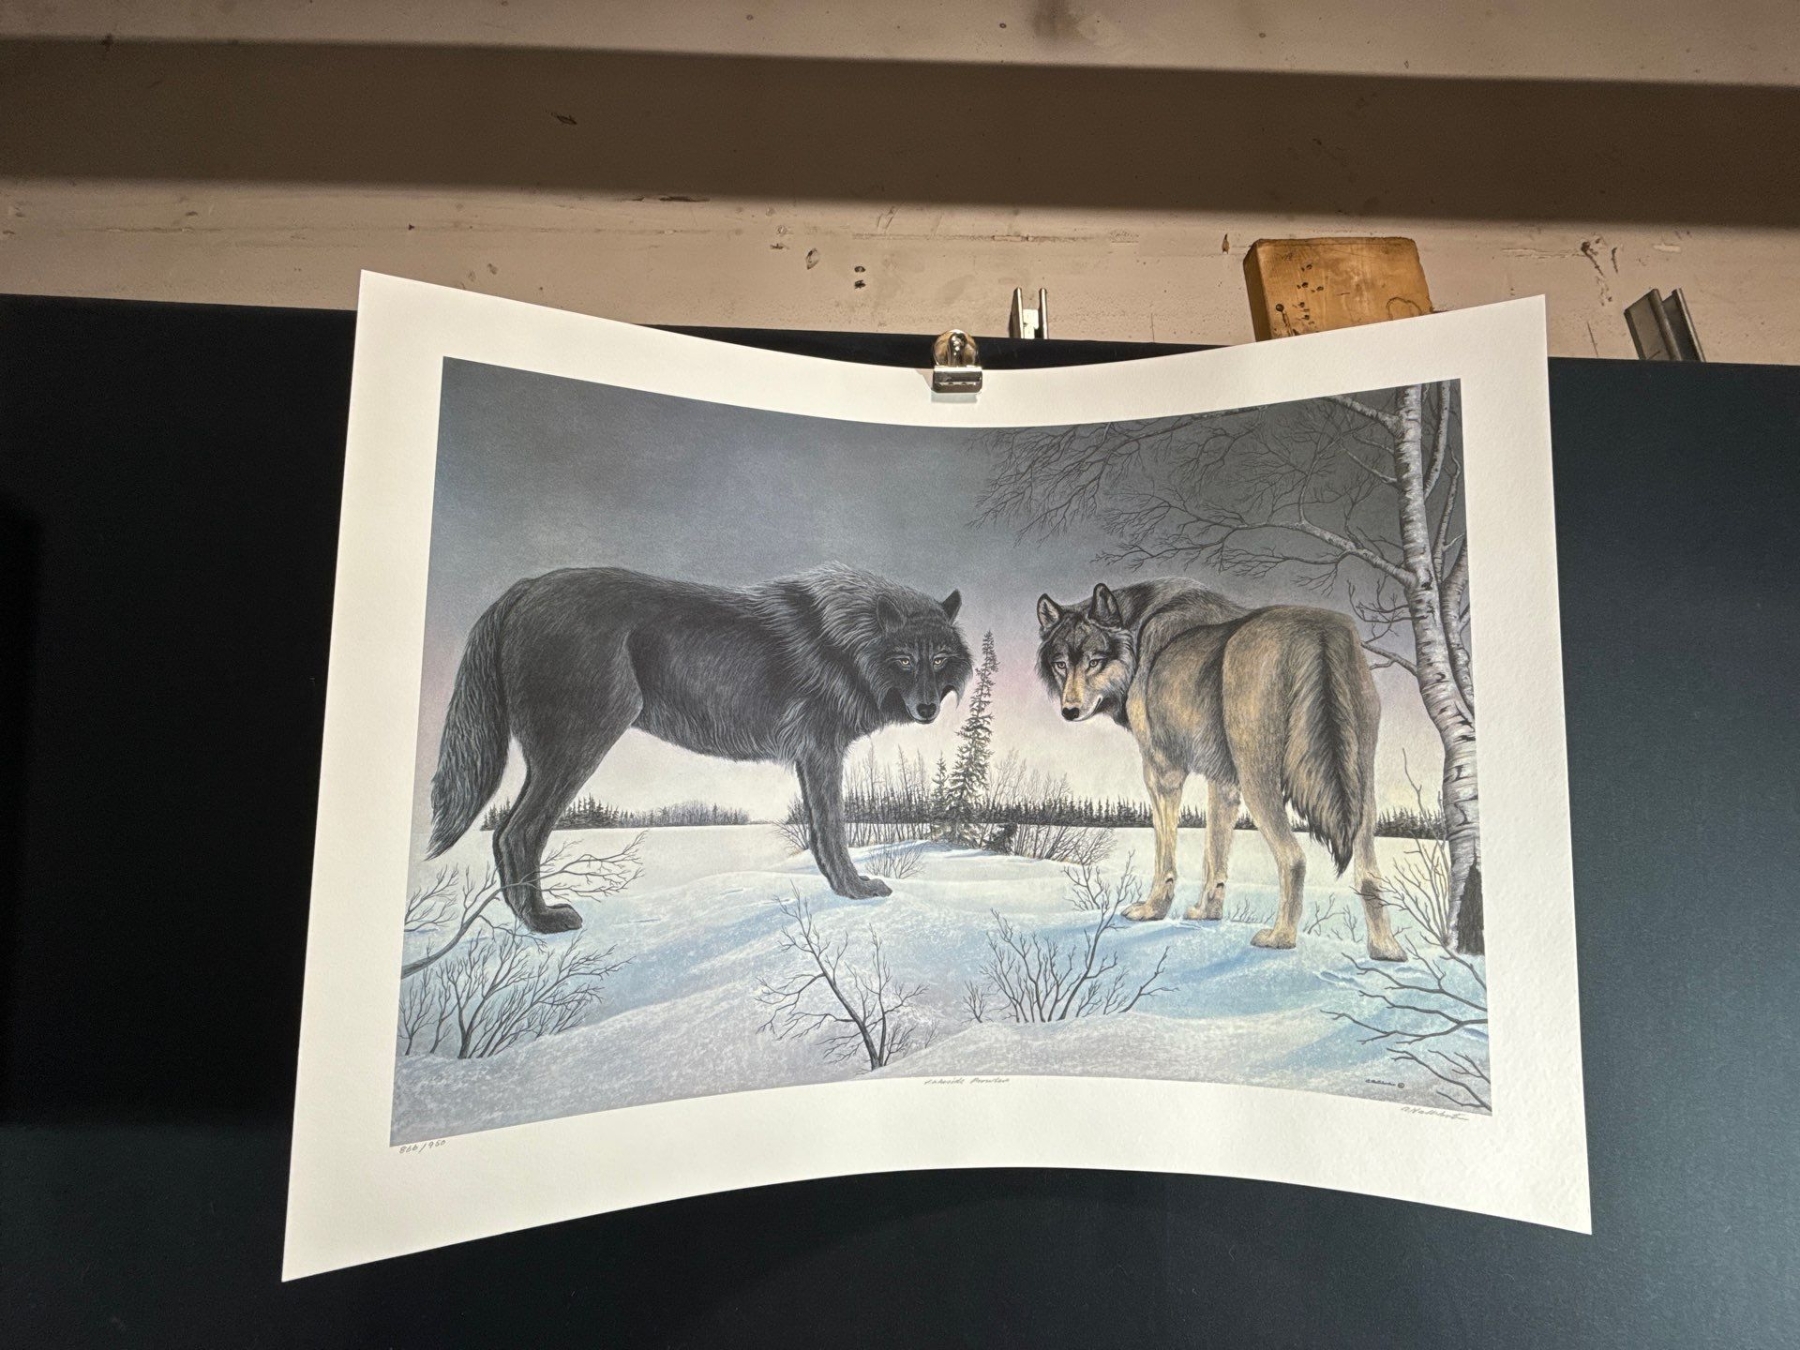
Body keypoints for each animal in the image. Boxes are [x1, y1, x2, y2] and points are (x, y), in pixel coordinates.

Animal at [427, 564, 972, 932]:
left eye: (939, 659)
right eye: (904, 660)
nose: (928, 709)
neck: (850, 642)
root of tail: (524, 589)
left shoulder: (810, 757)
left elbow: (819, 834)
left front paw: (841, 890)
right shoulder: (822, 751)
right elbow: (834, 831)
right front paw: (856, 891)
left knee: (507, 833)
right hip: (577, 749)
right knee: (516, 833)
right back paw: (543, 922)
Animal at [1036, 579, 1403, 961]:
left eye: (1094, 661)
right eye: (1061, 664)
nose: (1069, 711)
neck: (1136, 635)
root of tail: (1317, 631)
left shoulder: (1161, 770)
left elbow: (1165, 856)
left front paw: (1152, 910)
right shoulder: (1223, 781)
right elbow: (1215, 853)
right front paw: (1208, 913)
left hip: (1259, 778)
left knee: (1294, 857)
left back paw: (1281, 938)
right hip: (1360, 788)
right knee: (1369, 872)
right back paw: (1386, 949)